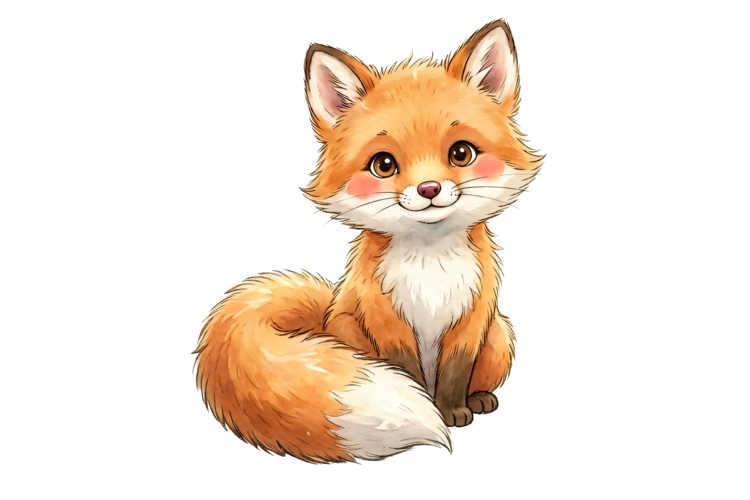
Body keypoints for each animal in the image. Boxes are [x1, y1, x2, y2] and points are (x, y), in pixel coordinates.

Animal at [193, 19, 543, 463]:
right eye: (384, 164)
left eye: (461, 153)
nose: (429, 189)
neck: (430, 269)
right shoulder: (384, 319)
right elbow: (406, 371)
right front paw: (433, 411)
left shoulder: (471, 319)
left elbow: (453, 375)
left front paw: (451, 411)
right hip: (349, 329)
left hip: (500, 335)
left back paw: (479, 399)